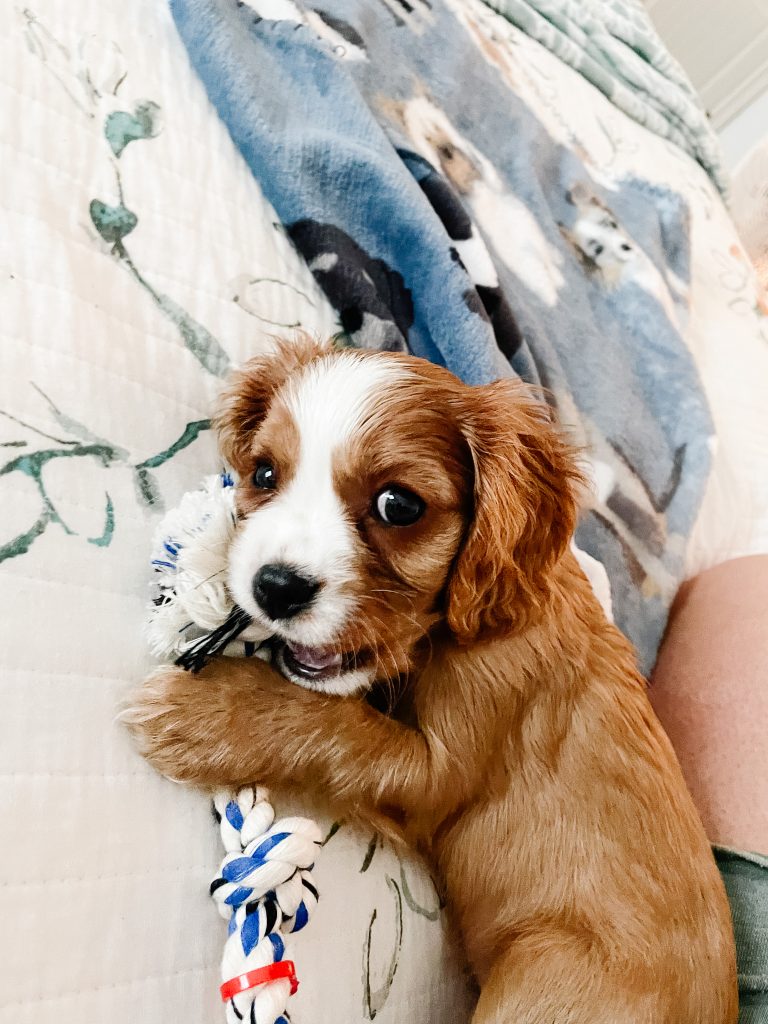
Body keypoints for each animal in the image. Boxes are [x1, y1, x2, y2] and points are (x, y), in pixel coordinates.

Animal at [126, 337, 741, 1024]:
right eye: (263, 474)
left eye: (398, 505)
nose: (273, 587)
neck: (493, 609)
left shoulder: (440, 767)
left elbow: (337, 726)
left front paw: (202, 713)